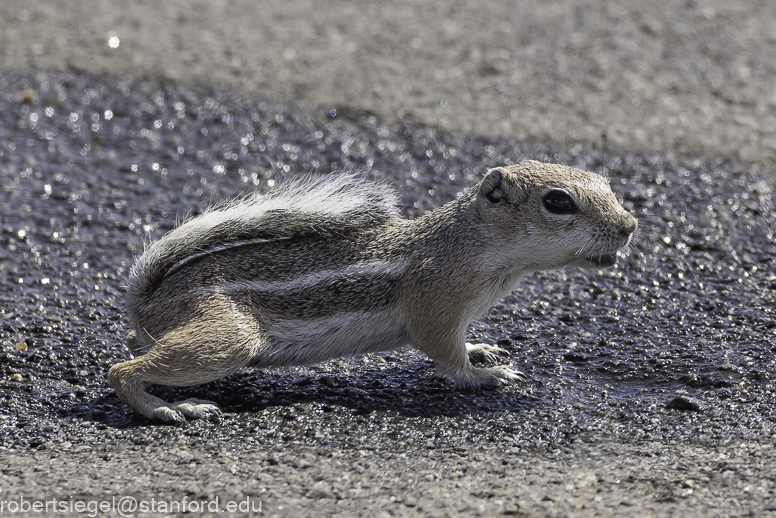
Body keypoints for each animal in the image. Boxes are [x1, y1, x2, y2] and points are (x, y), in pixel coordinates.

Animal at [112, 161, 640, 422]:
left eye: (606, 183)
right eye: (558, 202)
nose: (630, 225)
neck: (470, 246)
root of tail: (149, 300)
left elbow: (460, 343)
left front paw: (481, 349)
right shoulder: (435, 303)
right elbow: (444, 353)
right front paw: (485, 376)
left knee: (133, 348)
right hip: (228, 338)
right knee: (121, 369)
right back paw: (167, 408)